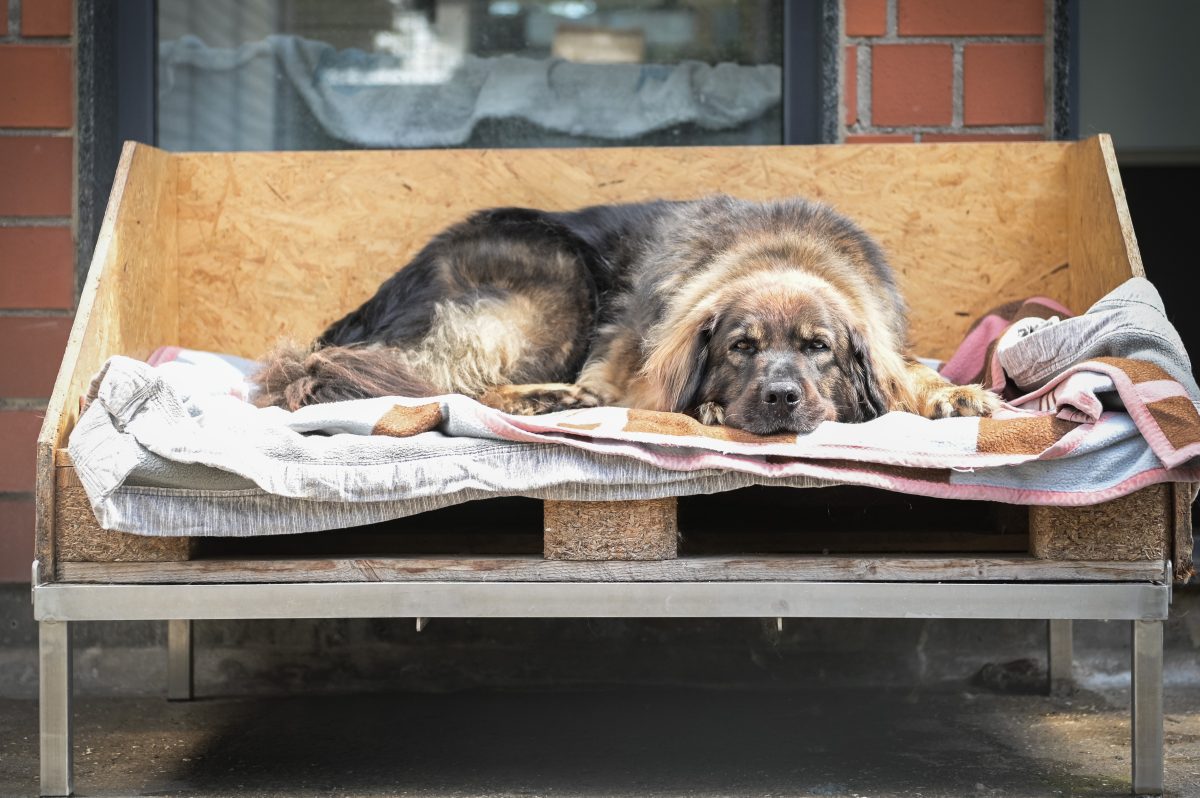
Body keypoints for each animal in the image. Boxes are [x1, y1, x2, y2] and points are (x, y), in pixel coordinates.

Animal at [255, 195, 1003, 436]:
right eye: (740, 347)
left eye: (820, 347)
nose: (781, 398)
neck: (783, 253)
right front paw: (706, 407)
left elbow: (909, 373)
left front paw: (957, 393)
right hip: (556, 289)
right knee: (455, 385)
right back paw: (546, 399)